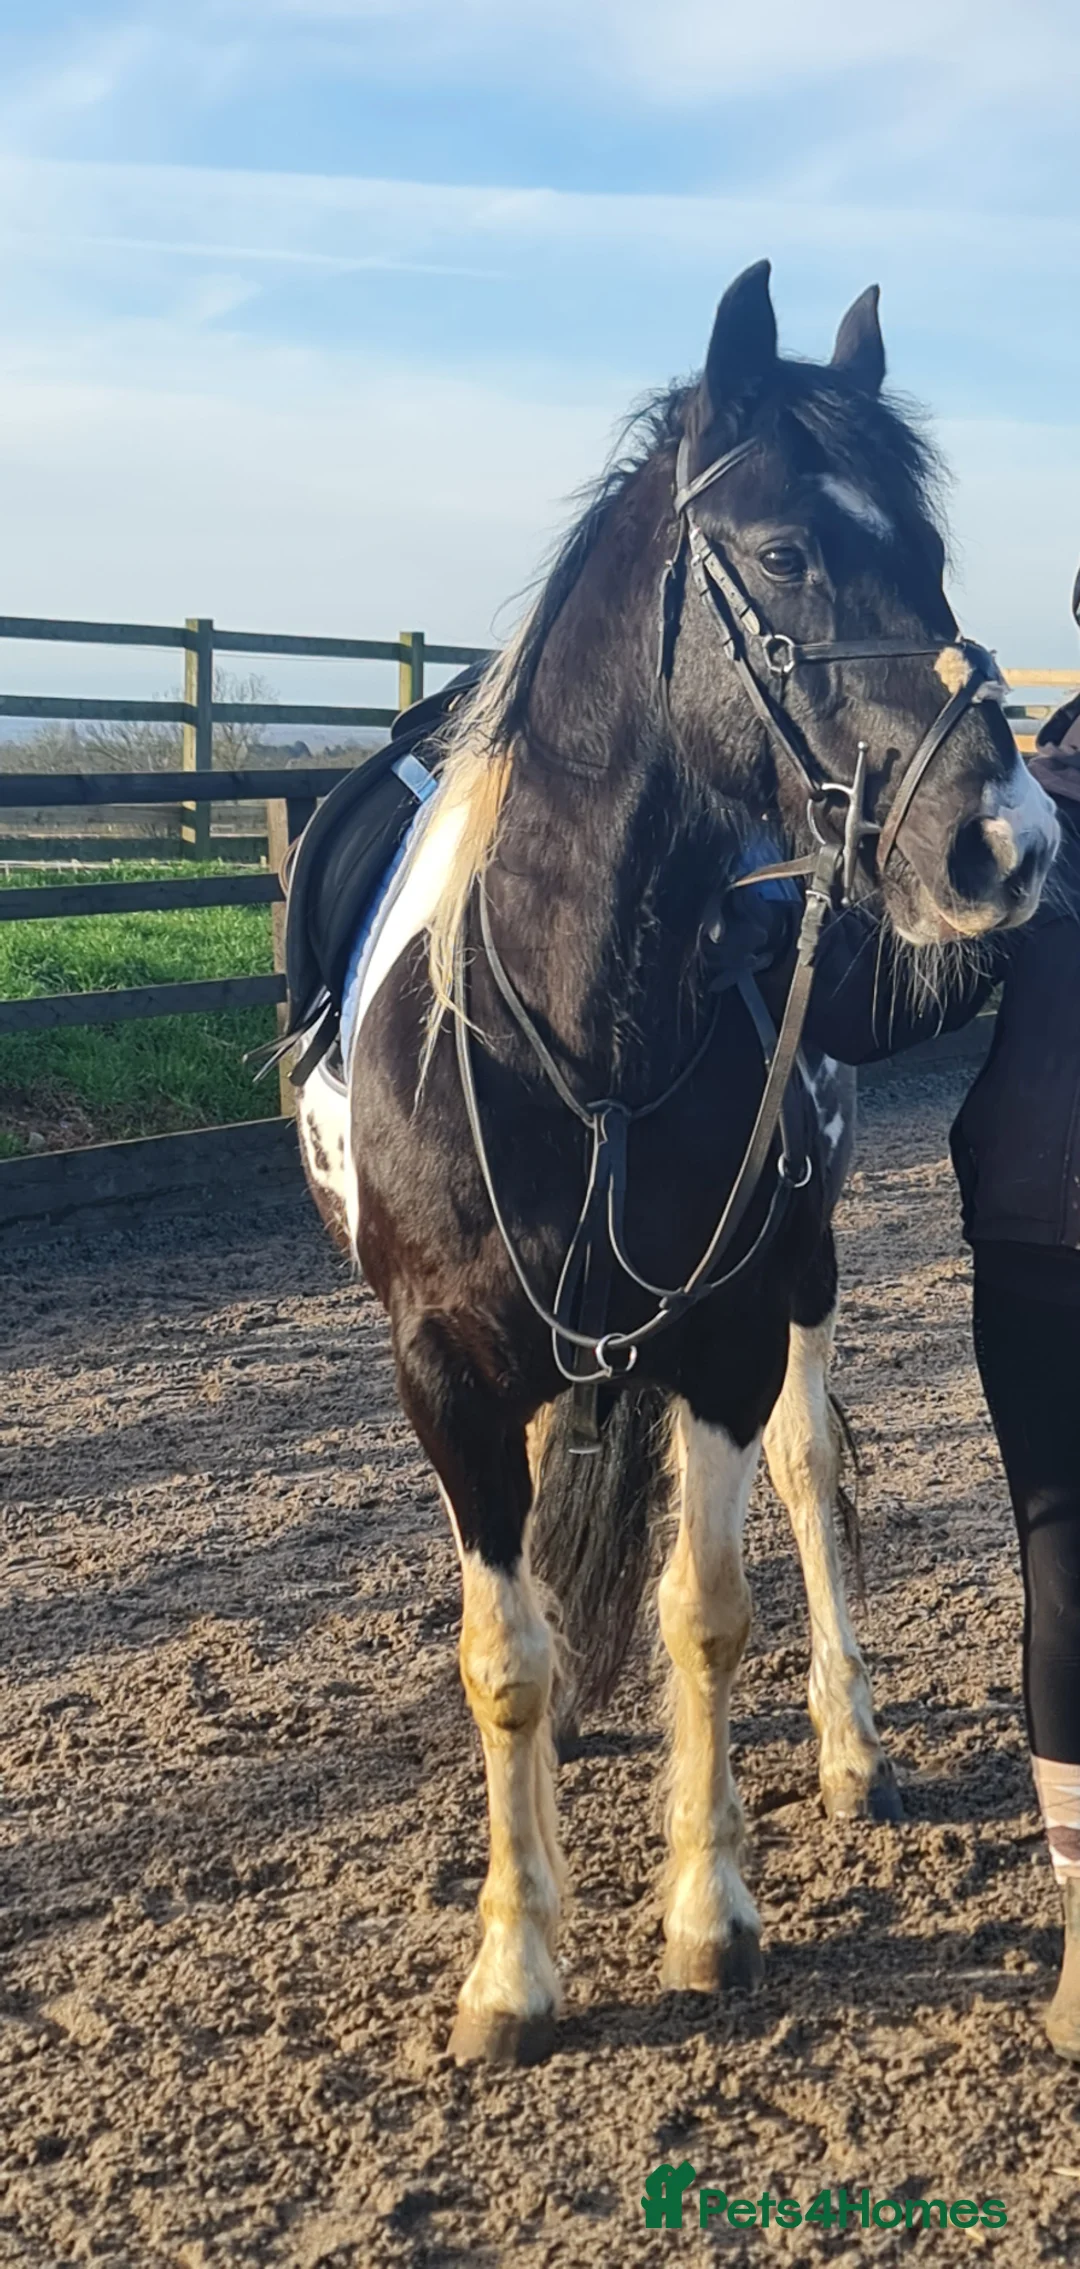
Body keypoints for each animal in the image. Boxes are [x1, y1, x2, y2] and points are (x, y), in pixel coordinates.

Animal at [291, 261, 1057, 2066]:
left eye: (930, 549)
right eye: (781, 553)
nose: (1005, 841)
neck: (572, 1024)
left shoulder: (720, 1330)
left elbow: (708, 1609)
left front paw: (710, 1916)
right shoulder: (443, 1369)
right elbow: (498, 1654)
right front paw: (513, 1966)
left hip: (804, 1273)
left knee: (810, 1477)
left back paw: (850, 1748)